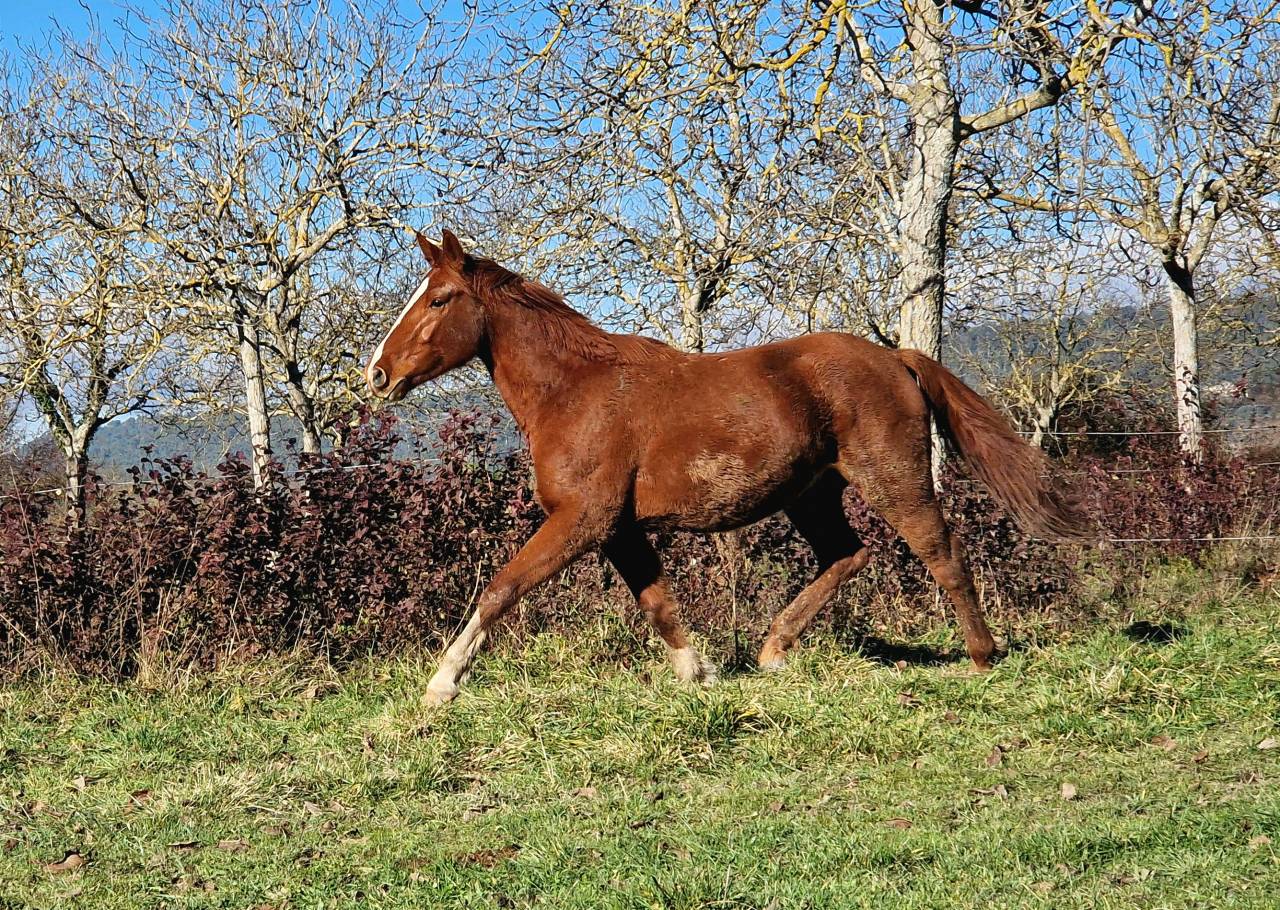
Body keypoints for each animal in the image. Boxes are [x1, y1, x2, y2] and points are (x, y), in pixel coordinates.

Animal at [366, 229, 1090, 705]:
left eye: (439, 299)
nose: (377, 374)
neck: (575, 392)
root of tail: (896, 358)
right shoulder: (620, 529)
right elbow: (657, 604)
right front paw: (699, 672)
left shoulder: (583, 520)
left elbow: (501, 587)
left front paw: (440, 684)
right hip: (812, 493)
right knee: (846, 554)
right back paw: (774, 651)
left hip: (893, 479)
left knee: (940, 552)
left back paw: (982, 657)